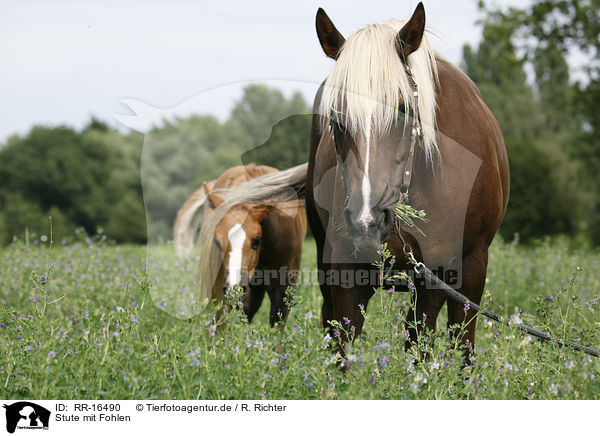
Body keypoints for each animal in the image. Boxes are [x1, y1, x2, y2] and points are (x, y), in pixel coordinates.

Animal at [304, 3, 510, 354]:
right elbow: (344, 345)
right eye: (337, 118)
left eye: (404, 109)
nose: (367, 219)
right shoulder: (347, 270)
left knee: (462, 341)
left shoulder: (441, 272)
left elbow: (423, 347)